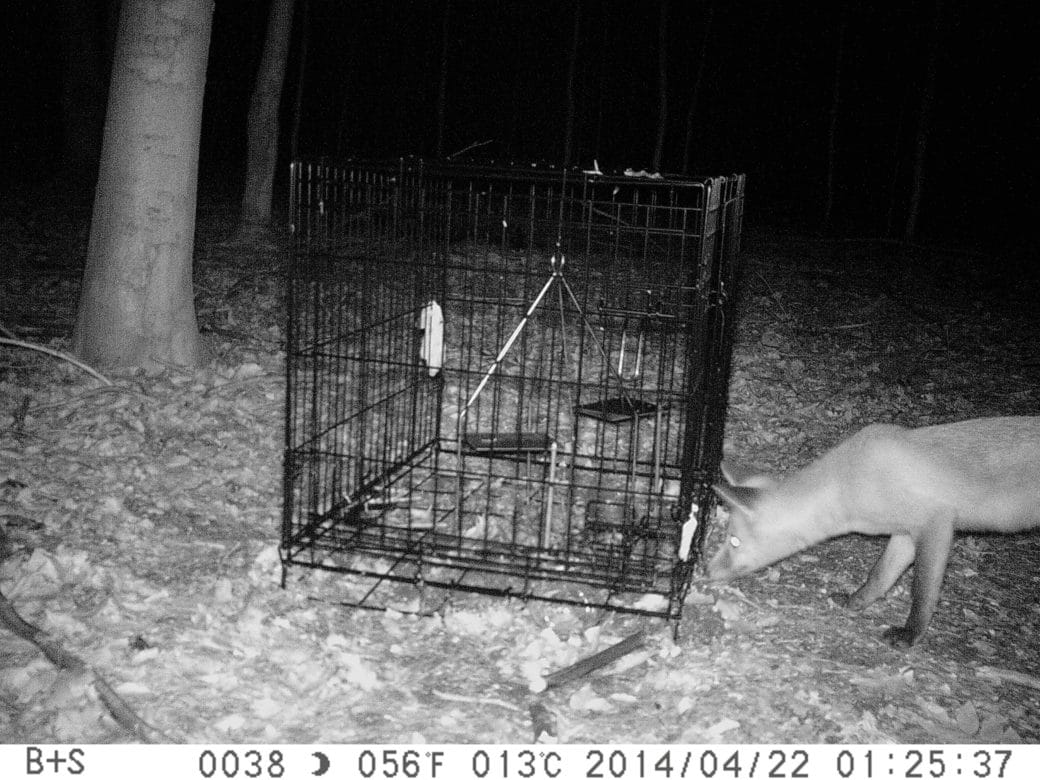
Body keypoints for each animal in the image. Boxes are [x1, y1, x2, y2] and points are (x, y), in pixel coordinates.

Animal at [707, 418, 1040, 648]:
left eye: (733, 541)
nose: (707, 571)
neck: (849, 482)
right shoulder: (904, 532)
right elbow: (880, 575)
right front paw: (856, 602)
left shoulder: (937, 523)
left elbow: (923, 591)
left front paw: (910, 634)